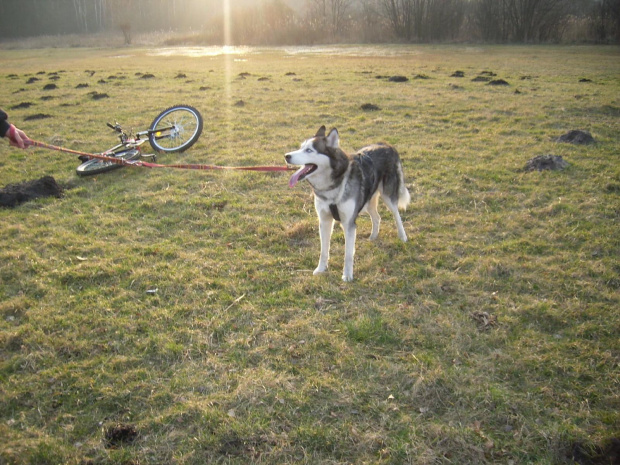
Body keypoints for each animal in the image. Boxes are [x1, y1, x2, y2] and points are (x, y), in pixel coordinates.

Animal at [286, 125, 412, 280]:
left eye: (309, 150)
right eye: (301, 147)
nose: (286, 156)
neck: (332, 186)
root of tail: (386, 145)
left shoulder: (348, 223)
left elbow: (348, 254)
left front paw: (347, 275)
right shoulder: (324, 221)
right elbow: (324, 250)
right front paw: (321, 269)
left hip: (388, 196)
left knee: (397, 215)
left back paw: (402, 236)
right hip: (367, 200)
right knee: (377, 217)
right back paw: (373, 236)